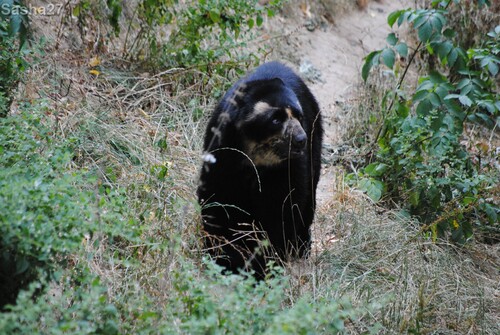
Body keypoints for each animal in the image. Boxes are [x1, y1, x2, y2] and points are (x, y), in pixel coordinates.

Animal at [197, 61, 322, 280]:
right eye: (275, 119)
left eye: (298, 116)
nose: (300, 139)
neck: (255, 160)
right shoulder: (222, 150)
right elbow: (218, 200)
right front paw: (223, 258)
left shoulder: (289, 167)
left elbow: (283, 207)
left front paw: (264, 265)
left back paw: (301, 246)